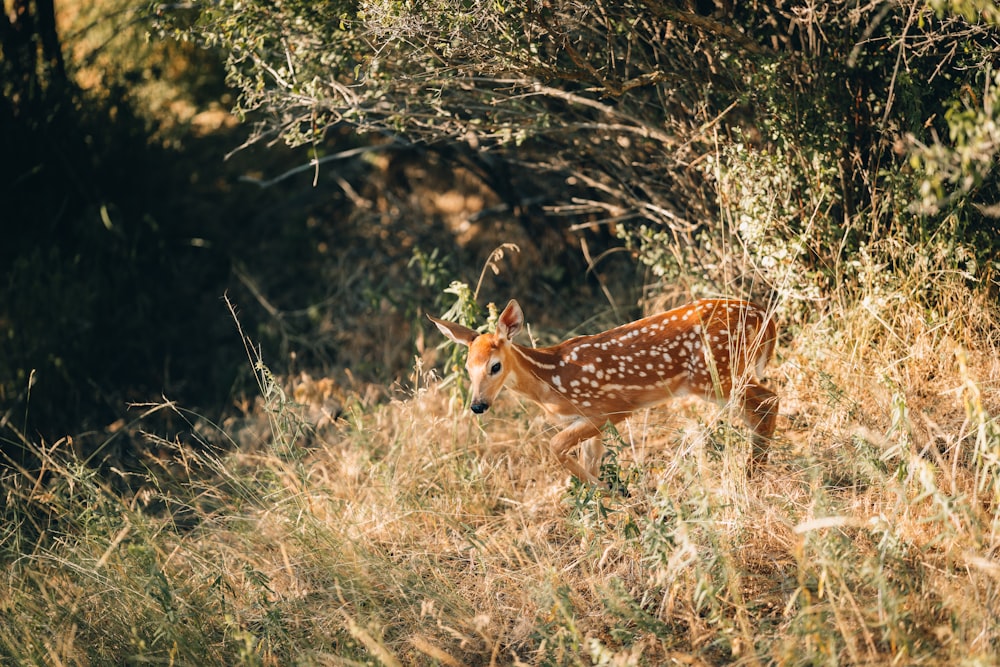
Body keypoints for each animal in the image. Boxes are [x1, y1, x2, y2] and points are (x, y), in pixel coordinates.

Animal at [426, 300, 776, 488]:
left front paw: (608, 490)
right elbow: (588, 459)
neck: (551, 379)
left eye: (495, 366)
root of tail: (763, 314)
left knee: (768, 401)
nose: (478, 405)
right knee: (759, 409)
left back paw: (753, 473)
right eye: (468, 368)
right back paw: (754, 468)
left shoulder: (610, 407)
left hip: (716, 374)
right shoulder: (585, 419)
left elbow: (555, 446)